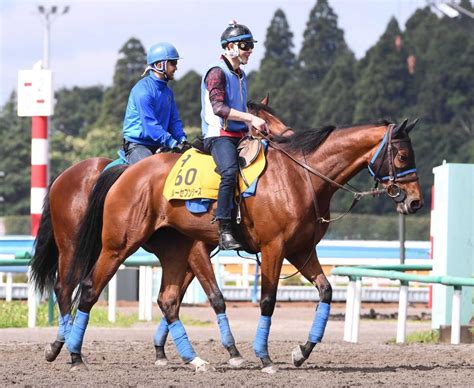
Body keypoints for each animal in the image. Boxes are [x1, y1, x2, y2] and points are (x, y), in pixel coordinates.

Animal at [65, 104, 424, 372]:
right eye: (403, 157)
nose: (415, 202)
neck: (301, 176)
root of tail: (127, 172)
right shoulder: (273, 248)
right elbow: (265, 300)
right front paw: (262, 357)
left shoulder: (302, 250)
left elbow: (325, 291)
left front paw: (302, 351)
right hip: (118, 246)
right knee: (88, 289)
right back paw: (74, 354)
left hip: (174, 250)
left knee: (168, 300)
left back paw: (194, 359)